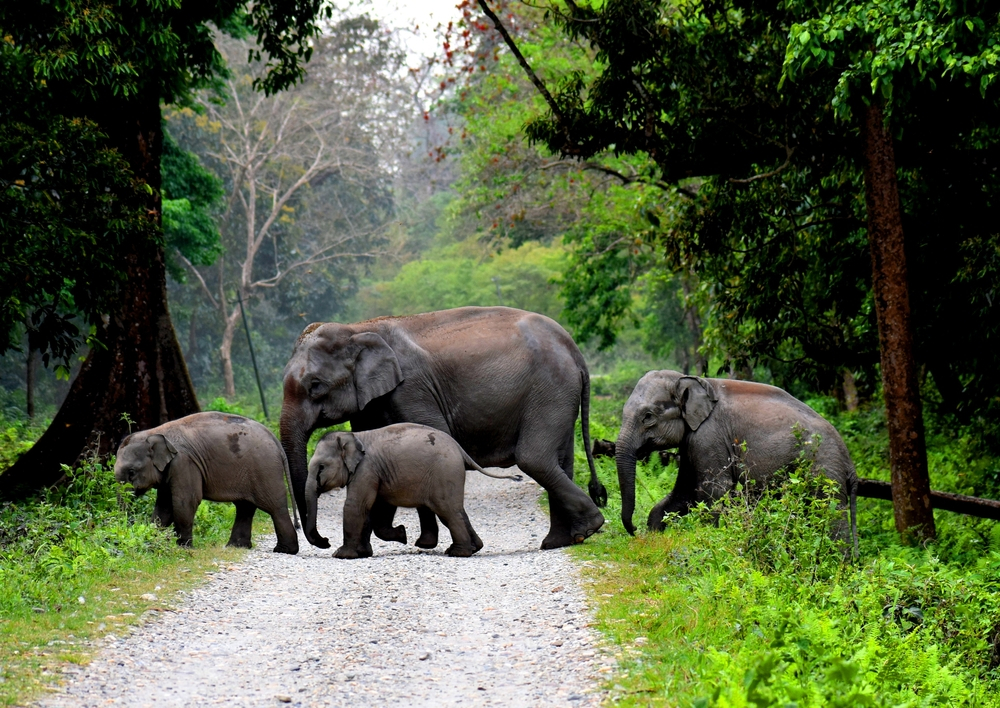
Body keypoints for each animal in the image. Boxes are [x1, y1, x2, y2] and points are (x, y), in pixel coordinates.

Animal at [115, 412, 298, 556]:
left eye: (131, 472)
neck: (155, 432)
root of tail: (275, 439)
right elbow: (164, 507)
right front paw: (153, 541)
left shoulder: (184, 463)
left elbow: (185, 501)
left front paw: (183, 548)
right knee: (245, 507)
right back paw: (236, 547)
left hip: (264, 469)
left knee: (274, 507)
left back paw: (284, 550)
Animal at [308, 420, 520, 560]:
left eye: (321, 467)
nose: (326, 540)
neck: (354, 437)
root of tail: (460, 449)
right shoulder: (375, 472)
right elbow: (372, 507)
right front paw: (368, 552)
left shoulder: (366, 469)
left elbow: (356, 505)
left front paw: (341, 555)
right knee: (455, 511)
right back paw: (474, 548)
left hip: (445, 472)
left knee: (447, 511)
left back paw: (458, 553)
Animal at [612, 374, 856, 552]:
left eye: (648, 417)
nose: (634, 530)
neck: (689, 379)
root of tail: (849, 461)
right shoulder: (693, 440)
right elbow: (685, 491)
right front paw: (654, 534)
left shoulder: (708, 435)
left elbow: (712, 489)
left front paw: (708, 538)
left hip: (823, 466)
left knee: (831, 511)